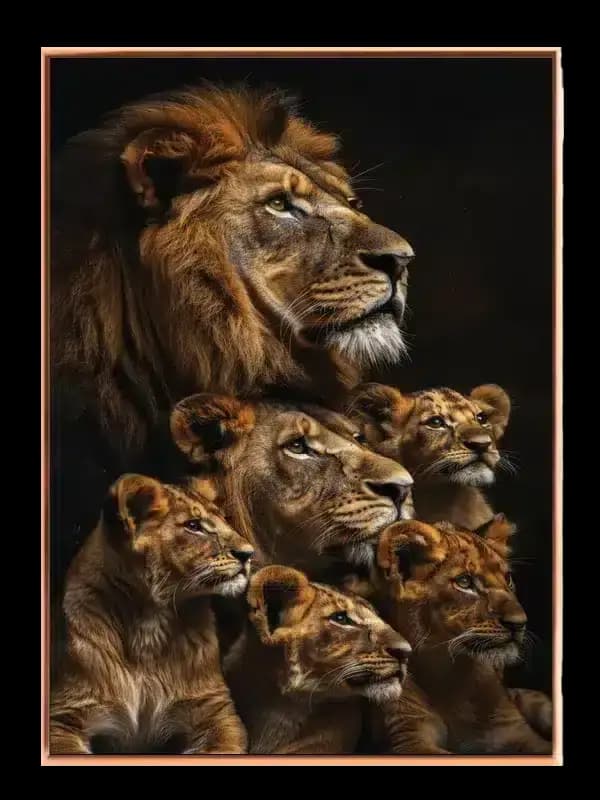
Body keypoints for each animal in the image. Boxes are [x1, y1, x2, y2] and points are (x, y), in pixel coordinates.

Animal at [50, 474, 252, 755]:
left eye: (225, 519)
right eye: (193, 526)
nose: (248, 553)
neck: (149, 625)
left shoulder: (216, 711)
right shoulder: (63, 715)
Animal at [366, 517, 552, 755]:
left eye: (508, 578)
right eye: (464, 582)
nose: (519, 623)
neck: (455, 676)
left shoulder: (514, 730)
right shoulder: (409, 739)